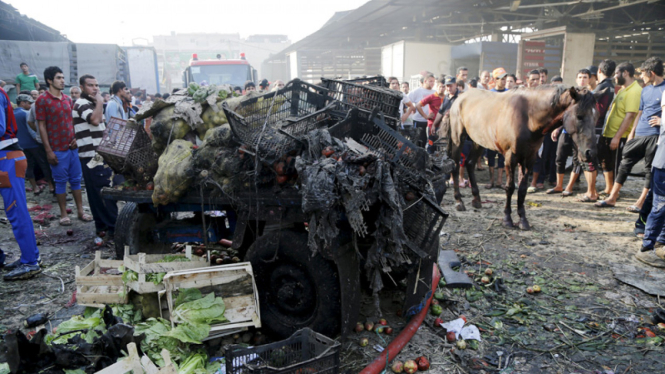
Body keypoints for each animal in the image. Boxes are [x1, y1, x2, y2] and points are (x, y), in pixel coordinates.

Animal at [446, 86, 596, 229]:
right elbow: (510, 187)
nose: (590, 152)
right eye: (579, 116)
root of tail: (460, 98)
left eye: (596, 116)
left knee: (470, 163)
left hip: (479, 141)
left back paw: (476, 199)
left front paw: (523, 220)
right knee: (455, 165)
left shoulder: (529, 159)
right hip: (458, 139)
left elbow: (522, 189)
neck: (528, 118)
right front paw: (507, 219)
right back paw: (459, 201)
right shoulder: (510, 158)